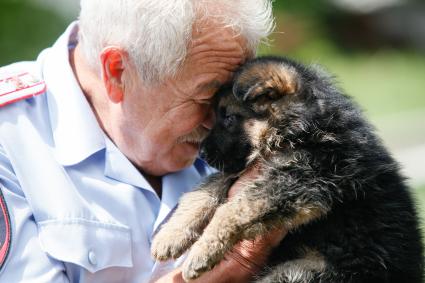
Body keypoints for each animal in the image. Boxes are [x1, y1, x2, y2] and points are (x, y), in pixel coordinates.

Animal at [151, 56, 422, 282]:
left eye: (228, 117)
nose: (203, 154)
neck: (299, 131)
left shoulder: (302, 179)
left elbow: (233, 208)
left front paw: (202, 251)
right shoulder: (249, 168)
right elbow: (204, 190)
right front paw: (170, 236)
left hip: (302, 272)